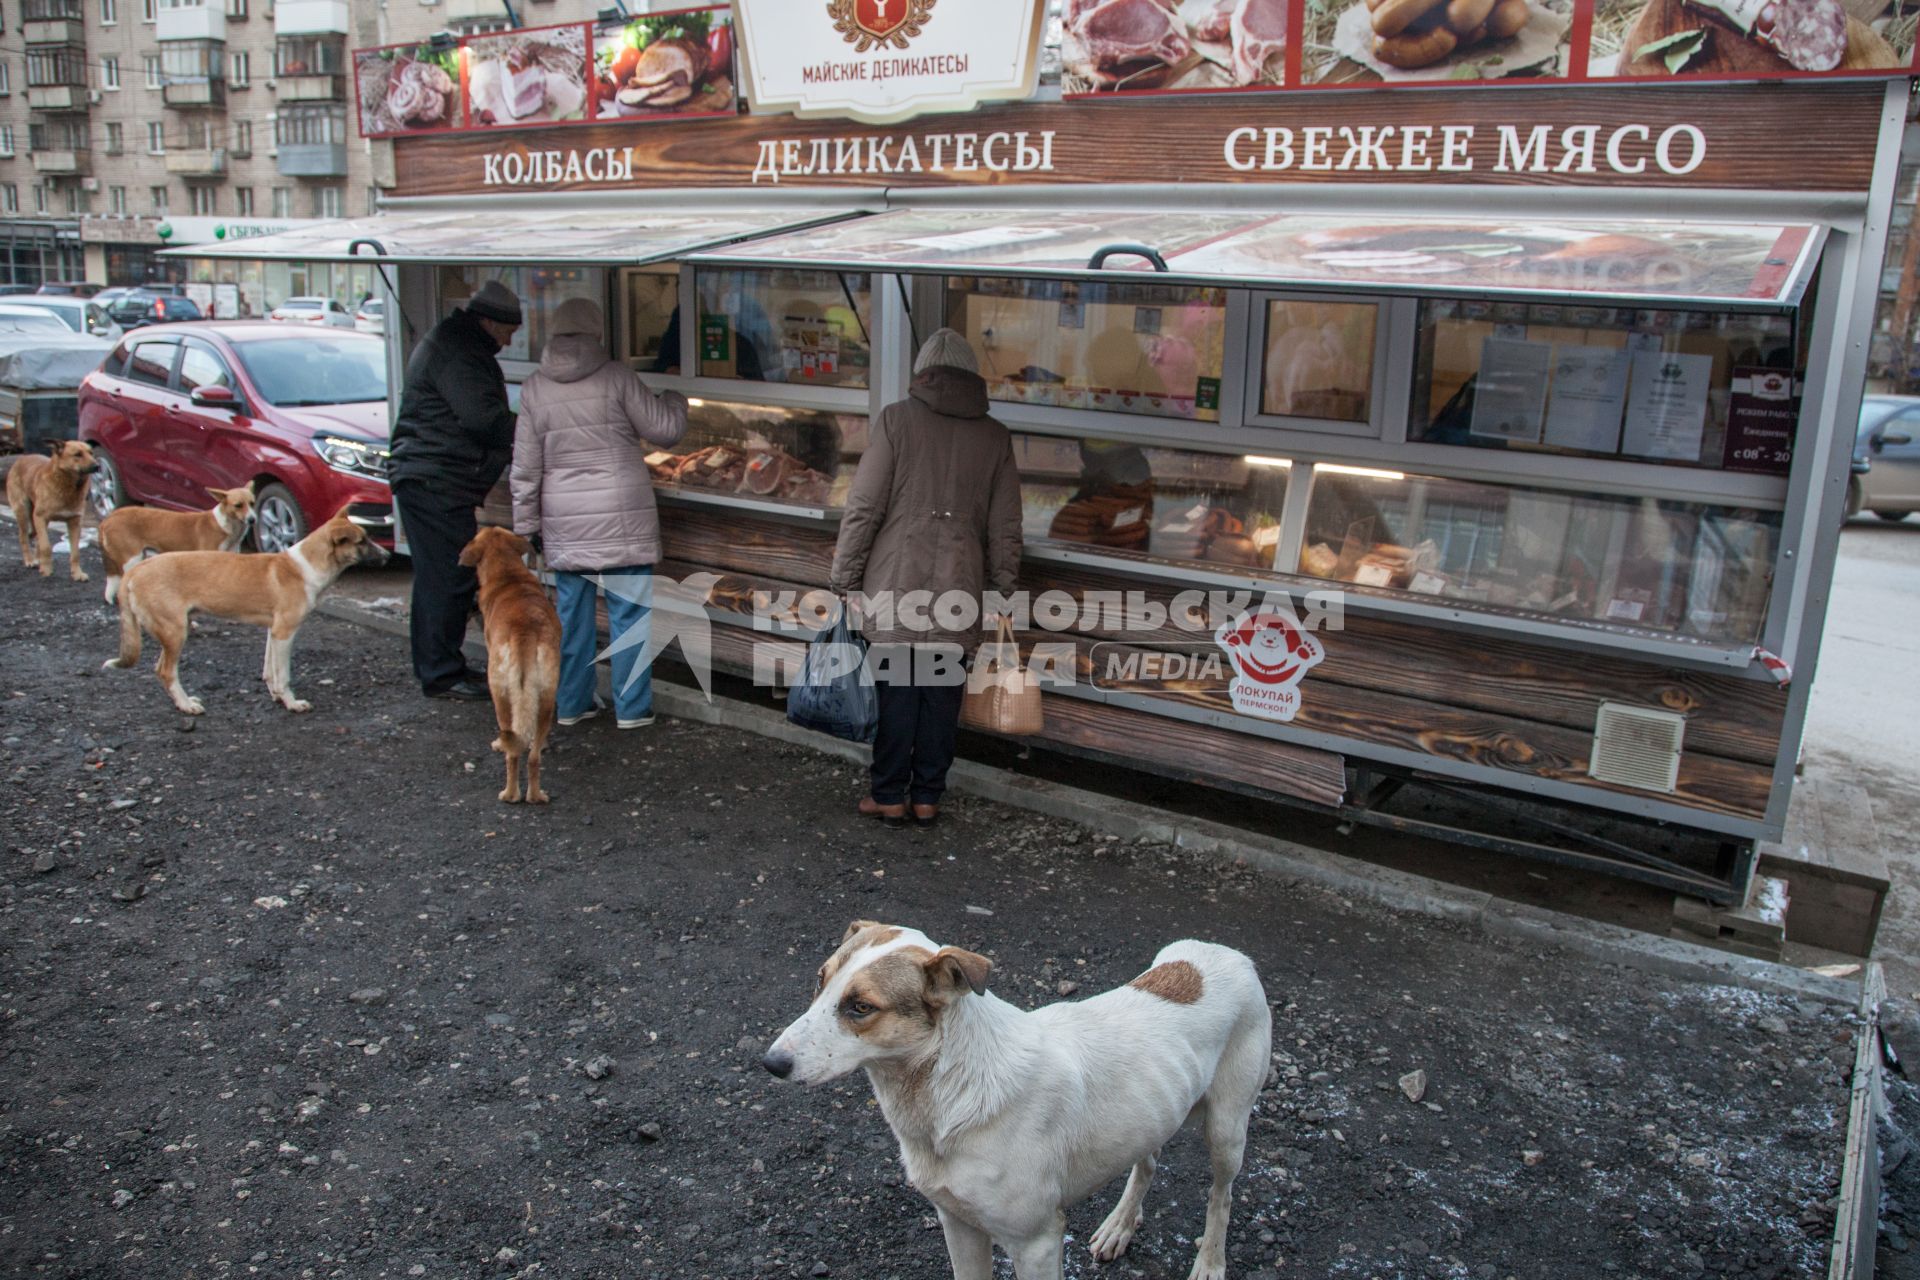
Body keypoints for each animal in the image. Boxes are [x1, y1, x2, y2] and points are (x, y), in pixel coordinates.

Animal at [6, 441, 99, 579]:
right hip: (23, 512)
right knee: (24, 537)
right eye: (78, 454)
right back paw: (30, 560)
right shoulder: (40, 517)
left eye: (91, 453)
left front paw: (77, 573)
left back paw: (38, 560)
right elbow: (46, 547)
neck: (68, 486)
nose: (97, 466)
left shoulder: (75, 522)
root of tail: (22, 458)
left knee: (36, 538)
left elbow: (75, 552)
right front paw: (46, 570)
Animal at [103, 485, 259, 606]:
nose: (253, 520)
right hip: (131, 560)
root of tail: (109, 518)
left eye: (252, 503)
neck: (228, 527)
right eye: (238, 505)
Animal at [460, 525, 560, 805]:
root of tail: (524, 633)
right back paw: (536, 795)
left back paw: (510, 794)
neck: (508, 574)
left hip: (501, 695)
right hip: (546, 696)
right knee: (533, 757)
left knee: (512, 752)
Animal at [764, 924, 1274, 1274]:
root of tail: (1228, 952)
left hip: (1227, 1130)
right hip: (1152, 1110)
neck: (951, 1092)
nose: (771, 1063)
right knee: (1147, 1162)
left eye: (861, 1007)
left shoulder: (1038, 1243)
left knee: (1222, 1197)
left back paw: (1210, 1264)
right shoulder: (958, 1223)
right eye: (819, 981)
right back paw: (1120, 1226)